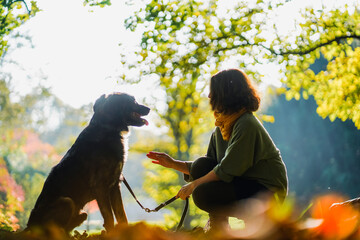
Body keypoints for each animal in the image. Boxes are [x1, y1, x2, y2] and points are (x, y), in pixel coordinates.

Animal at [25, 92, 149, 232]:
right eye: (133, 101)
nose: (149, 109)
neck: (108, 128)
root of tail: (29, 226)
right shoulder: (101, 187)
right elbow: (110, 218)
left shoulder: (115, 185)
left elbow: (122, 216)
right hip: (67, 202)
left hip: (82, 213)